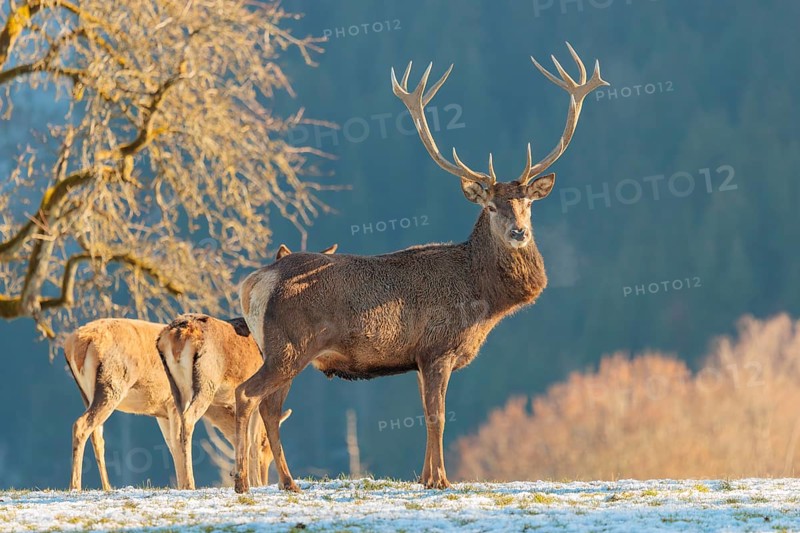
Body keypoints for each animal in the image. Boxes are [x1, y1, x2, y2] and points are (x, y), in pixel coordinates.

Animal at [234, 43, 609, 493]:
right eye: (490, 206)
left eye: (528, 203)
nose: (518, 231)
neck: (483, 301)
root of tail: (255, 282)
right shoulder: (438, 347)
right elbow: (438, 416)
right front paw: (442, 480)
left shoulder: (417, 357)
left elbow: (425, 416)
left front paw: (426, 477)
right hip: (288, 345)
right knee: (247, 395)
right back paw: (244, 482)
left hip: (280, 350)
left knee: (270, 408)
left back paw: (288, 483)